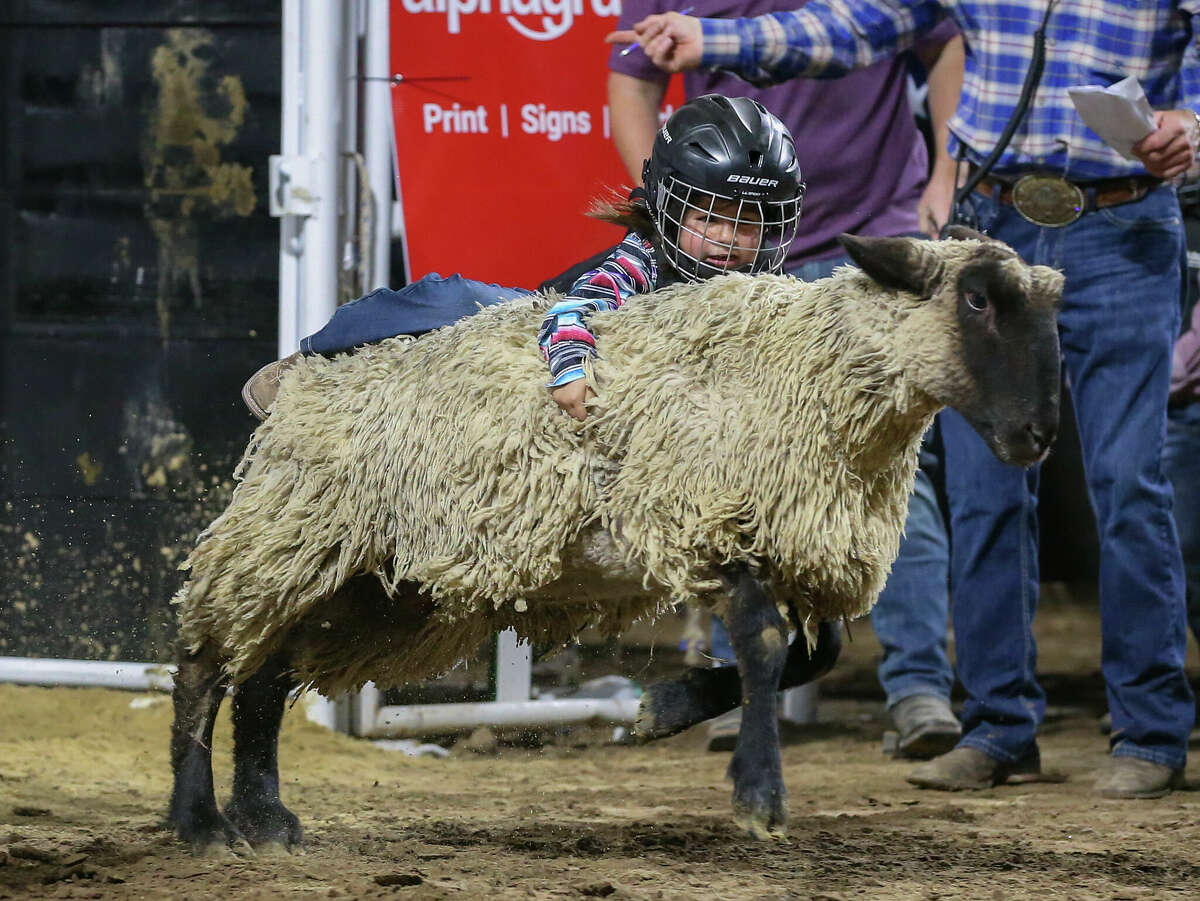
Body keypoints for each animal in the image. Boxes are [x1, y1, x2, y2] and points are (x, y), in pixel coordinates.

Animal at [166, 229, 1060, 849]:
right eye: (976, 300)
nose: (1038, 435)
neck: (809, 373)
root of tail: (305, 385)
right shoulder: (698, 519)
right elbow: (768, 644)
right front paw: (757, 792)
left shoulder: (793, 543)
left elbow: (813, 654)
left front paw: (665, 709)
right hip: (290, 533)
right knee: (206, 661)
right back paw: (199, 820)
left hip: (378, 586)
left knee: (265, 675)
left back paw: (262, 815)